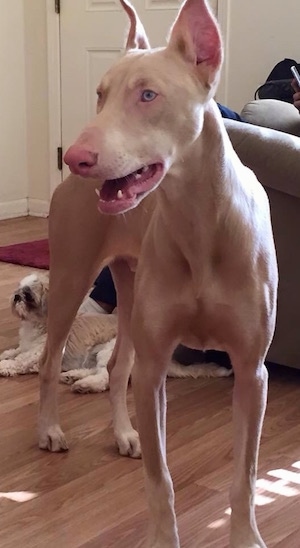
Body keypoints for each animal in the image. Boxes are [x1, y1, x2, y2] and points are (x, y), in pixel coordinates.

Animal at [0, 272, 232, 392]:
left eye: (28, 297)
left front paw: (5, 366)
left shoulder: (38, 353)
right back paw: (73, 375)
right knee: (97, 370)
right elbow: (15, 351)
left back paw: (86, 384)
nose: (16, 297)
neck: (37, 326)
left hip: (109, 350)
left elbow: (20, 361)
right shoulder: (26, 346)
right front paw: (5, 355)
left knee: (106, 377)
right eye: (18, 290)